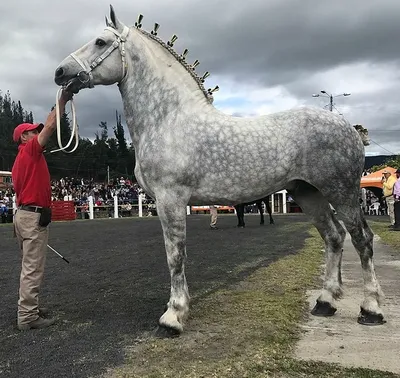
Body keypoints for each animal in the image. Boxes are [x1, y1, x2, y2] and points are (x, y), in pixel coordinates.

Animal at [54, 5, 386, 336]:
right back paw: (325, 302)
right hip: (308, 194)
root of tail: (351, 129)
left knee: (361, 240)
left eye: (99, 42)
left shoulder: (170, 199)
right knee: (334, 237)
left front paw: (173, 316)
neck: (169, 119)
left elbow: (175, 255)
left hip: (341, 193)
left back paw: (371, 308)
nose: (60, 72)